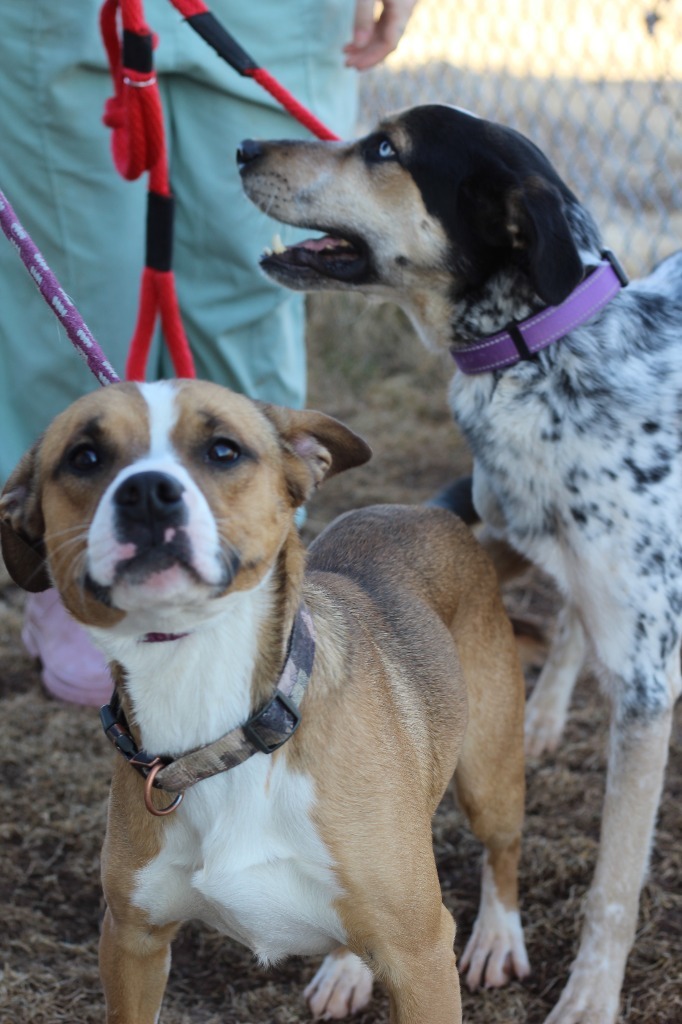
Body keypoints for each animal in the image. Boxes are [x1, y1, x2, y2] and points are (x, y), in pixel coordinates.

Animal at [1, 382, 524, 1024]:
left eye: (223, 450)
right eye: (85, 457)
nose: (147, 494)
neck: (214, 726)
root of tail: (422, 510)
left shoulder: (420, 957)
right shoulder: (130, 942)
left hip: (487, 780)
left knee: (502, 850)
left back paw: (498, 938)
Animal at [238, 105, 679, 1024]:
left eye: (385, 149)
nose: (244, 147)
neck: (549, 353)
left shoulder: (648, 687)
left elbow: (614, 884)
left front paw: (590, 998)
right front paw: (350, 965)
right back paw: (542, 716)